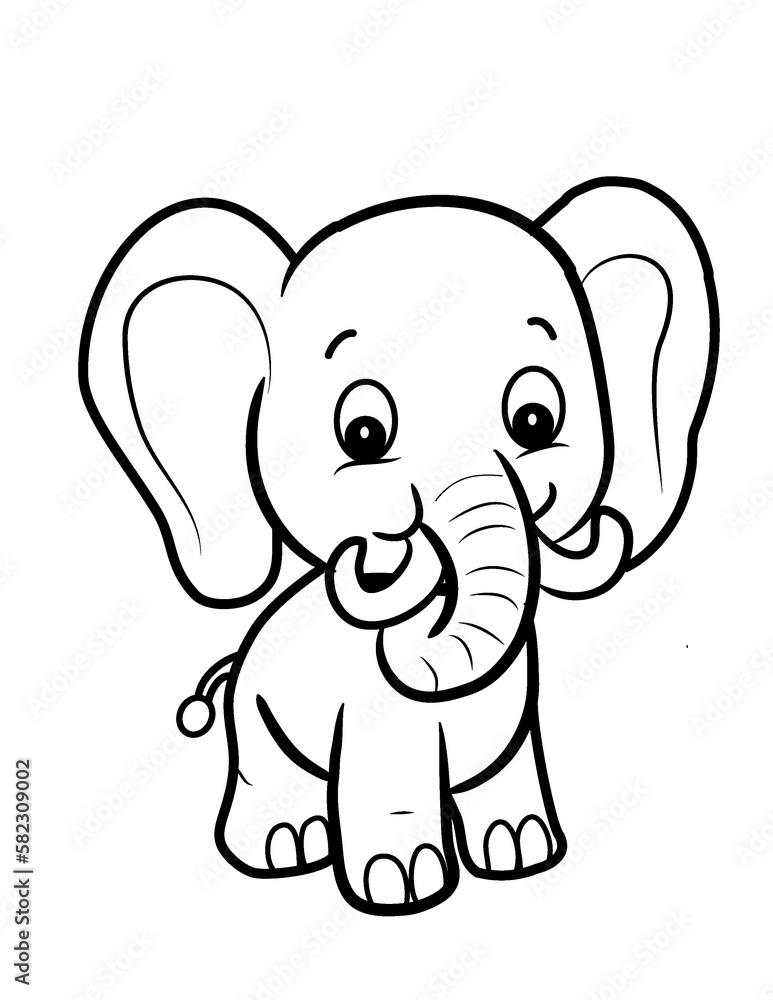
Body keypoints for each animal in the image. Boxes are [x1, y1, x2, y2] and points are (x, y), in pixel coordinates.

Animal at [80, 178, 718, 915]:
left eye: (535, 419)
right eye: (362, 433)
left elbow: (507, 767)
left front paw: (521, 851)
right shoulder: (368, 715)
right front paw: (403, 886)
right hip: (255, 721)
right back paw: (282, 848)